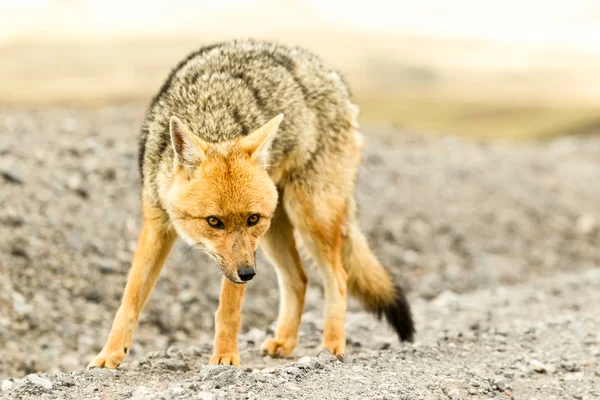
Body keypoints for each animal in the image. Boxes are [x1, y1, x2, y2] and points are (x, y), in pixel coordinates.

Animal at [89, 39, 414, 368]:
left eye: (251, 219)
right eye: (214, 222)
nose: (248, 274)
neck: (213, 119)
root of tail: (333, 75)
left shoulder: (240, 259)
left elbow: (228, 308)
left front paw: (225, 357)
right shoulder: (156, 225)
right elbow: (130, 298)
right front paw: (110, 355)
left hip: (309, 220)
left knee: (338, 277)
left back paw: (332, 345)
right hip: (274, 235)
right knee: (300, 279)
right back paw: (285, 341)